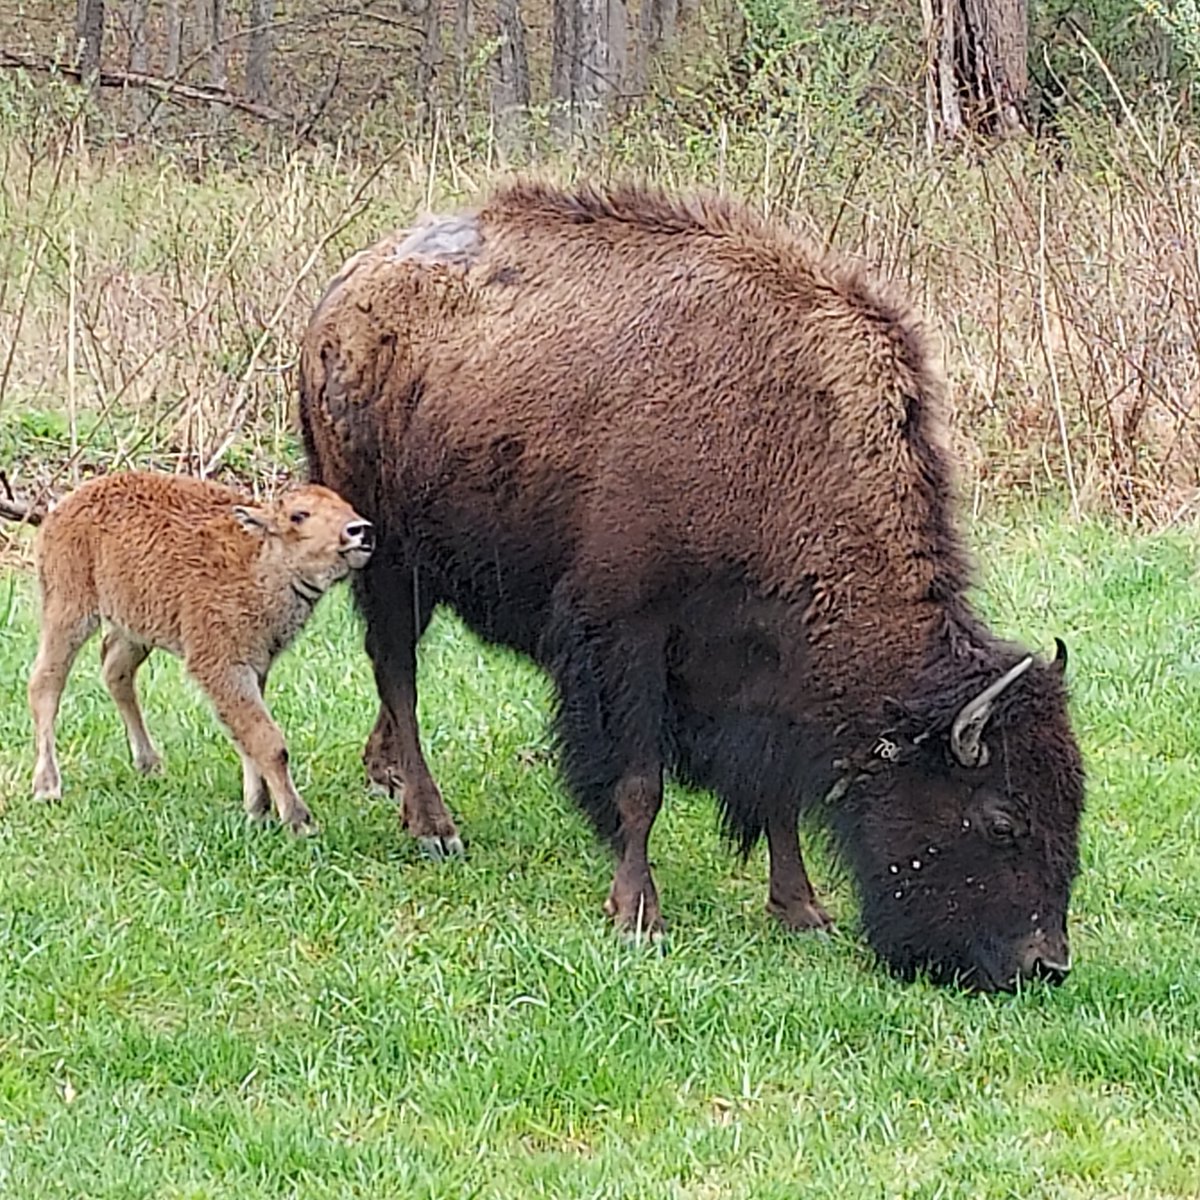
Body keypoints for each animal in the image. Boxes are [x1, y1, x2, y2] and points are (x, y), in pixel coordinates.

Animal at [28, 470, 374, 834]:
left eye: (347, 505)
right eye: (299, 515)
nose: (360, 530)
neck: (259, 562)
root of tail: (63, 507)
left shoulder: (255, 667)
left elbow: (245, 735)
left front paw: (258, 808)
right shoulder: (221, 665)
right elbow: (267, 741)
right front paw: (297, 820)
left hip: (134, 628)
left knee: (115, 671)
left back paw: (149, 764)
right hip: (69, 609)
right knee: (45, 684)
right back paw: (47, 786)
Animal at [297, 180, 1086, 992]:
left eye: (1074, 810)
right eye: (1001, 818)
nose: (1045, 963)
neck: (785, 447)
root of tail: (342, 295)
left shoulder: (766, 679)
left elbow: (776, 795)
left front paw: (802, 910)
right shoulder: (625, 638)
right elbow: (640, 786)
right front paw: (637, 914)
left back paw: (386, 776)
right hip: (388, 558)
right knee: (399, 672)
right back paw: (433, 825)